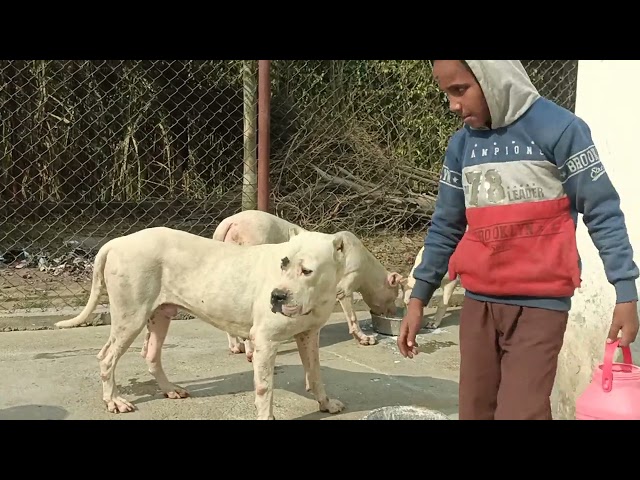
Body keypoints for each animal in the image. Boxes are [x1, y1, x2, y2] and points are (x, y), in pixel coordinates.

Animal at [53, 227, 350, 418]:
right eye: (283, 264)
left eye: (307, 270)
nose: (276, 296)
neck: (317, 294)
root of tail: (117, 242)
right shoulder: (265, 343)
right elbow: (265, 389)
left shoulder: (309, 336)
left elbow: (316, 374)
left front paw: (326, 404)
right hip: (130, 317)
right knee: (107, 358)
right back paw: (113, 401)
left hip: (160, 317)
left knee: (151, 354)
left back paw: (169, 390)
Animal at [212, 210, 408, 360]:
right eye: (393, 295)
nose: (393, 313)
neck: (367, 265)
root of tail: (229, 222)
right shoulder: (345, 288)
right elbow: (352, 317)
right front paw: (363, 338)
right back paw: (249, 350)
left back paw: (236, 346)